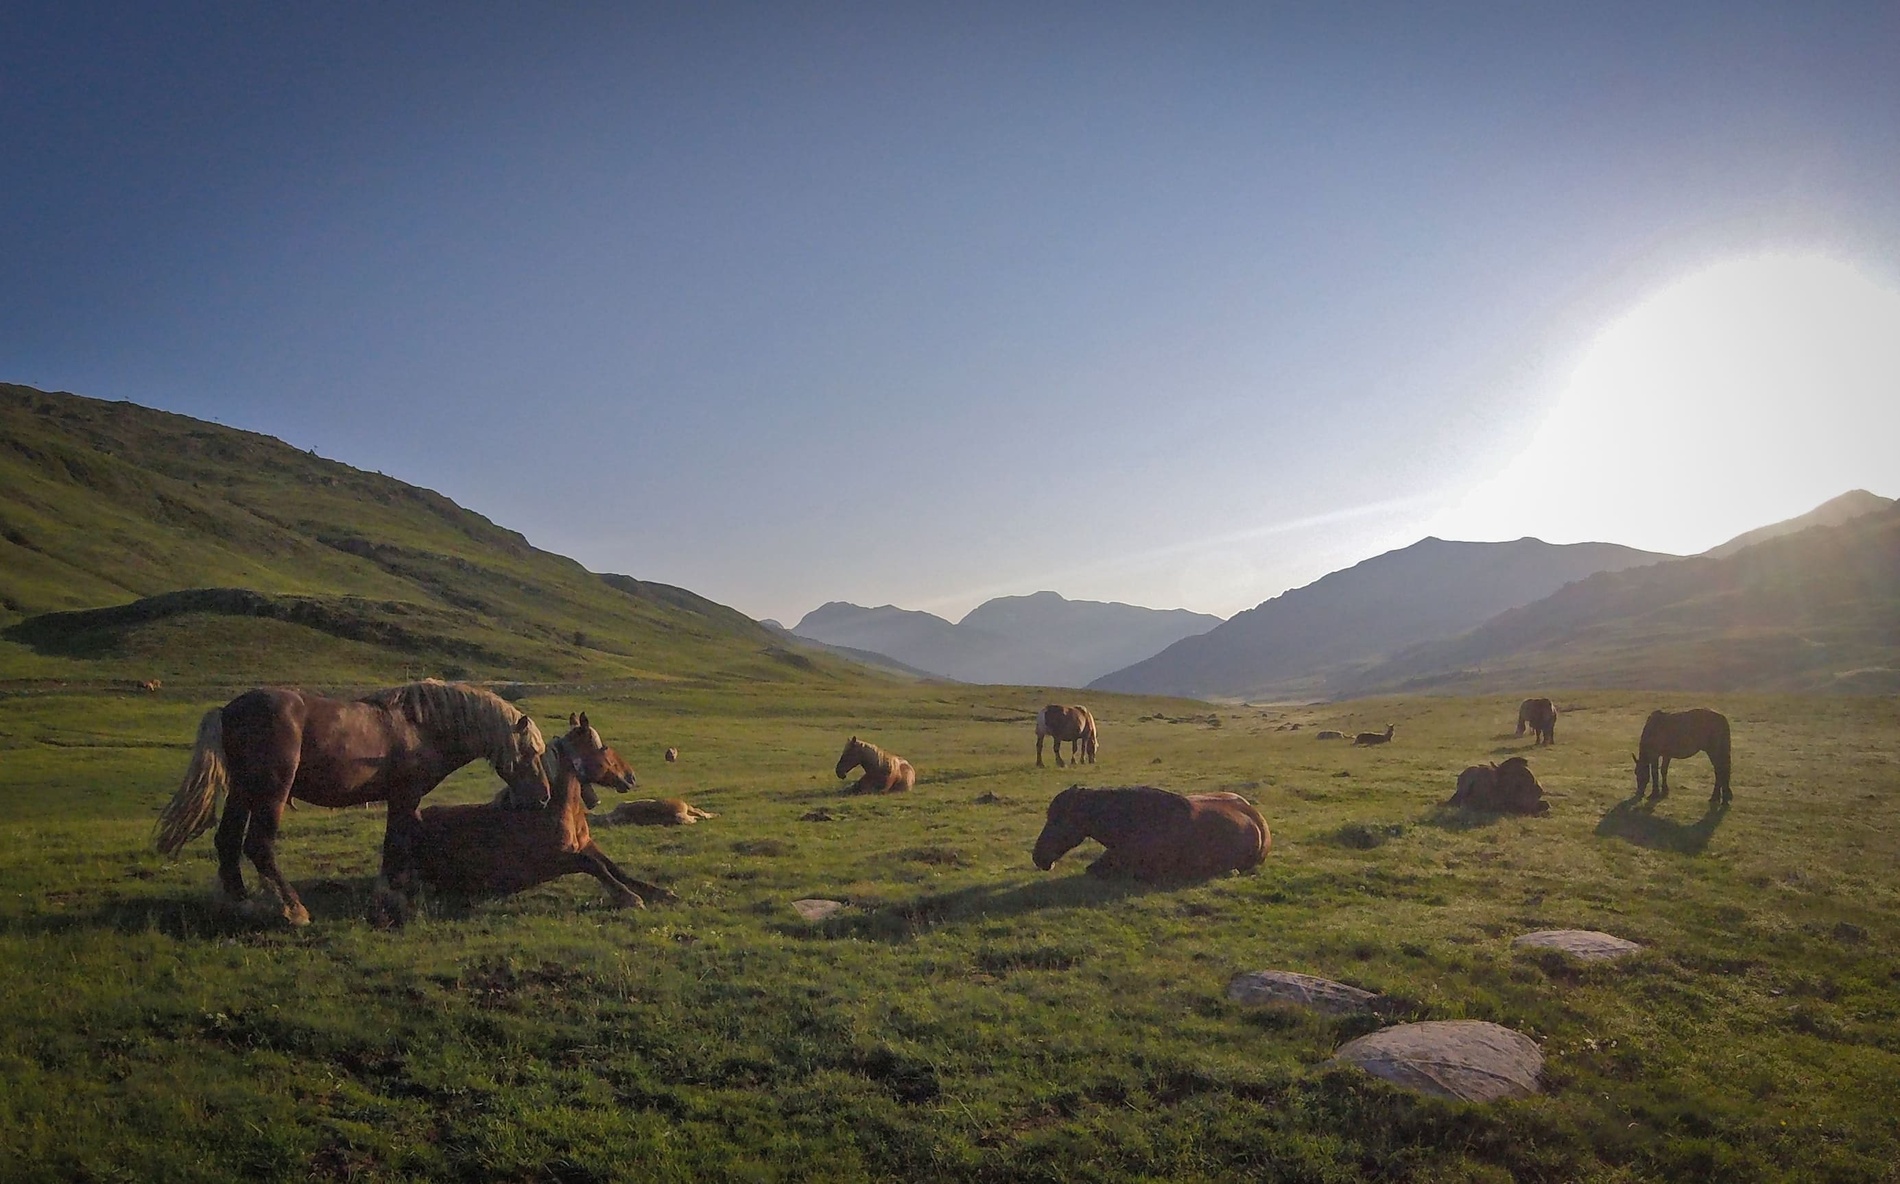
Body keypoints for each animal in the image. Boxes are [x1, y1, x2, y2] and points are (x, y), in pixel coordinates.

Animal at [154, 680, 550, 926]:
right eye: (530, 751)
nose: (543, 797)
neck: (421, 726)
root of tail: (227, 711)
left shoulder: (405, 800)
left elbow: (405, 841)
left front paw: (400, 888)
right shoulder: (404, 796)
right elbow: (396, 842)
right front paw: (391, 896)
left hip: (242, 792)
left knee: (228, 841)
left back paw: (242, 903)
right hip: (270, 793)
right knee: (258, 845)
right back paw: (294, 911)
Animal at [414, 713, 674, 908]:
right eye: (604, 748)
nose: (631, 777)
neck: (551, 812)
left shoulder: (587, 845)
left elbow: (613, 867)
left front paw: (658, 892)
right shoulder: (551, 861)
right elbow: (593, 865)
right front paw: (629, 897)